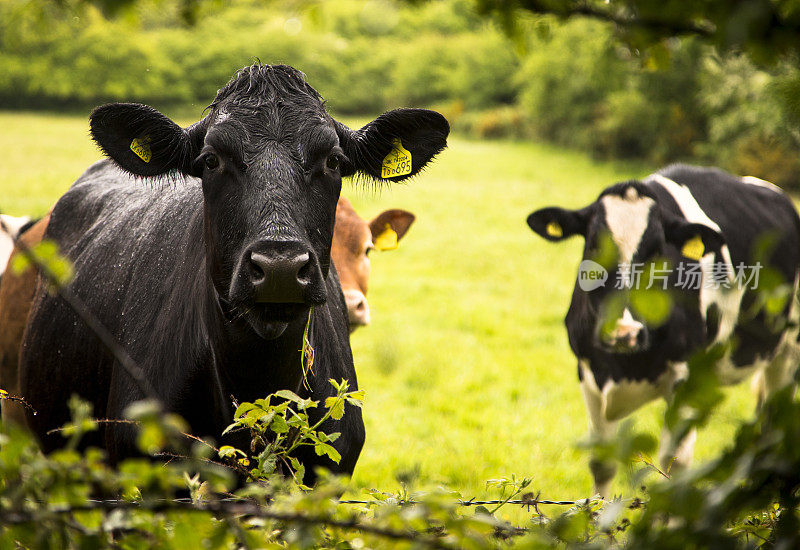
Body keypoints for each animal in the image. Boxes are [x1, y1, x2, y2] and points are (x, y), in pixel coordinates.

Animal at [524, 166, 800, 498]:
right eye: (593, 245)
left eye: (657, 251)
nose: (624, 332)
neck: (625, 366)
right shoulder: (588, 370)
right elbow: (601, 462)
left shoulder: (686, 377)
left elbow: (674, 464)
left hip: (788, 351)